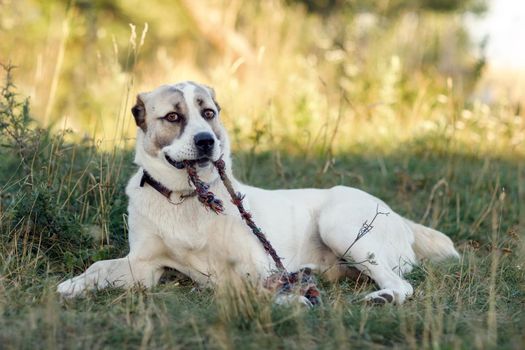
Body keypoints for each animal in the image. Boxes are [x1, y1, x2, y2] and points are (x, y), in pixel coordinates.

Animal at [57, 81, 458, 304]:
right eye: (173, 117)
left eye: (209, 113)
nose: (206, 141)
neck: (187, 198)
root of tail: (398, 216)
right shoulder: (143, 266)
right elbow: (98, 267)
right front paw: (74, 286)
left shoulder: (258, 266)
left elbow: (245, 281)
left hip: (339, 225)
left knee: (400, 283)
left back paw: (382, 296)